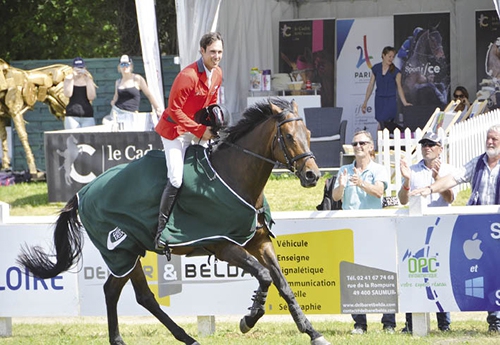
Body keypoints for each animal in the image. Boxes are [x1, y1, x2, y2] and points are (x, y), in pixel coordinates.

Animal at [16, 99, 332, 344]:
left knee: (124, 292)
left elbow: (283, 284)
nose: (312, 175)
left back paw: (157, 338)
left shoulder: (259, 241)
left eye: (308, 132)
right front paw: (249, 319)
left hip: (129, 252)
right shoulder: (224, 246)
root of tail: (82, 192)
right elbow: (264, 276)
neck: (235, 177)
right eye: (288, 136)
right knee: (133, 294)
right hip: (122, 250)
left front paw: (312, 332)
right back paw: (170, 338)